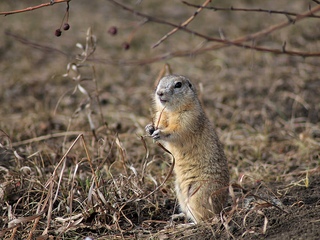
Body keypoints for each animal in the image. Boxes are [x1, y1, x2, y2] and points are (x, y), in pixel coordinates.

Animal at [145, 74, 230, 223]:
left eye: (178, 84)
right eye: (160, 82)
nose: (159, 93)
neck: (170, 111)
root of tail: (222, 209)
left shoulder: (188, 118)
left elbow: (176, 131)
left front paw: (159, 132)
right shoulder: (160, 115)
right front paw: (149, 128)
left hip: (198, 194)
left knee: (204, 220)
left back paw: (187, 224)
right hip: (180, 192)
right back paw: (177, 216)